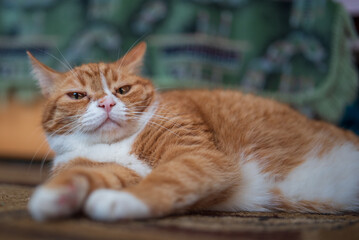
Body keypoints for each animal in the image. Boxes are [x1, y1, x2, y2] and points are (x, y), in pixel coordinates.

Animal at [26, 41, 359, 221]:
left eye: (122, 90)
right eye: (77, 95)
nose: (107, 103)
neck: (115, 145)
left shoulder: (199, 156)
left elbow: (166, 178)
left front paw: (118, 201)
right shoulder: (113, 170)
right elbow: (85, 175)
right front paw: (56, 196)